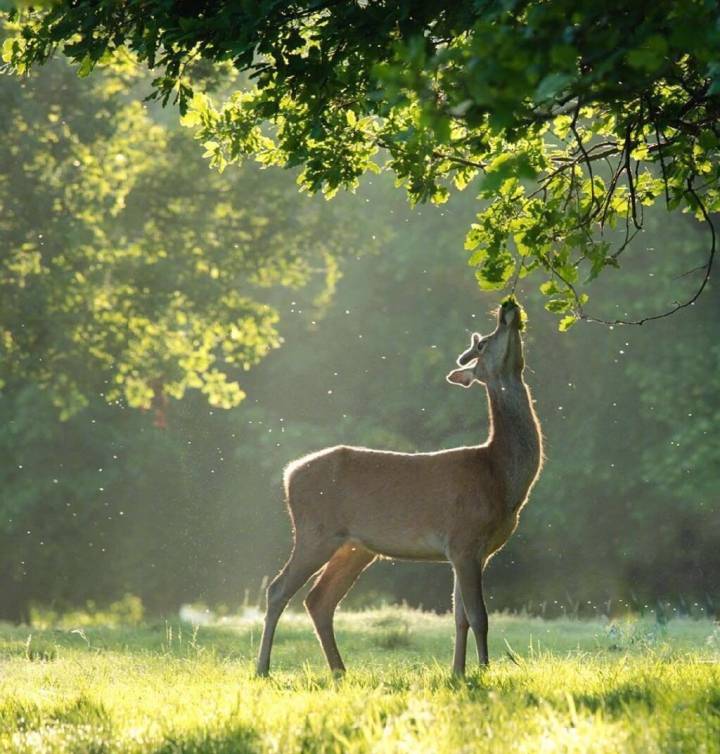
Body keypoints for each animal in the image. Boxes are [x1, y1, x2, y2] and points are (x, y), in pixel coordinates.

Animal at [256, 296, 544, 672]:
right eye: (482, 343)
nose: (507, 309)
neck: (501, 477)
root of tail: (289, 474)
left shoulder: (470, 552)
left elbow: (460, 617)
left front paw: (458, 672)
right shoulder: (464, 539)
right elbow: (479, 616)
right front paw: (483, 670)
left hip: (355, 546)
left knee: (318, 599)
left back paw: (339, 671)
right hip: (314, 531)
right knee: (278, 589)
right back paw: (263, 668)